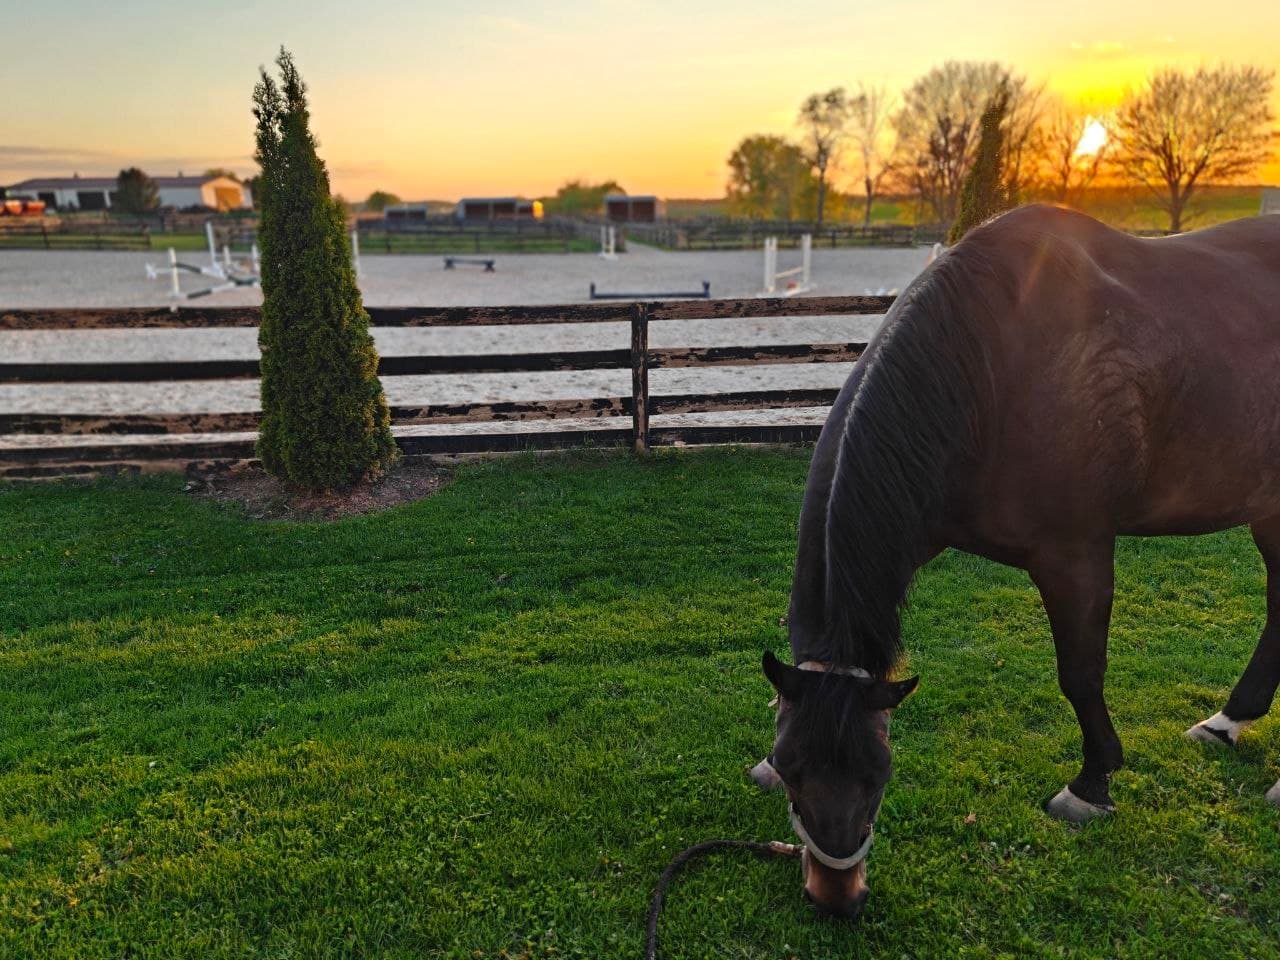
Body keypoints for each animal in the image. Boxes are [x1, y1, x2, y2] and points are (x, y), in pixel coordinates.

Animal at [750, 204, 1280, 919]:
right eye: (792, 767)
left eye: (879, 773)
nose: (836, 896)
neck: (988, 371)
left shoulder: (1076, 555)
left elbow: (1080, 676)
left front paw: (1090, 786)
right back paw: (1230, 720)